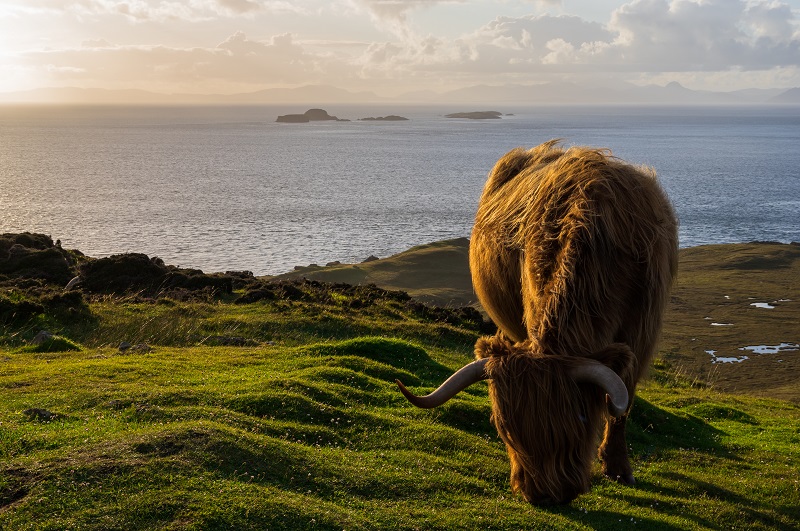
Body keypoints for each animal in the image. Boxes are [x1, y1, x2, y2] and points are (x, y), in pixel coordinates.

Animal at [396, 139, 680, 504]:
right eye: (504, 429)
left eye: (580, 418)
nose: (547, 495)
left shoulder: (641, 333)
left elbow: (621, 404)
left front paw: (619, 469)